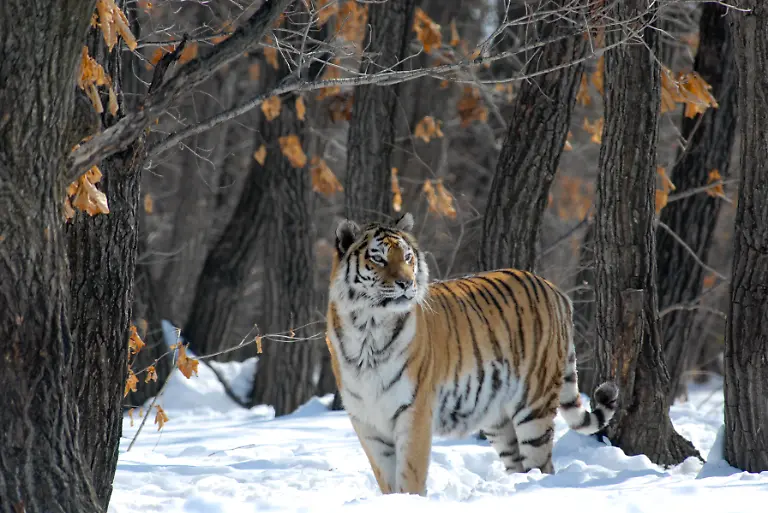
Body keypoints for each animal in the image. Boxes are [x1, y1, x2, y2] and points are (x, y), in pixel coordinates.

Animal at [325, 212, 618, 497]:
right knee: (518, 463)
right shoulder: (367, 423)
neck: (368, 329)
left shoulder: (414, 413)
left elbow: (410, 477)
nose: (407, 283)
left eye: (407, 257)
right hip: (498, 418)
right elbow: (387, 481)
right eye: (379, 259)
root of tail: (555, 290)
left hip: (534, 404)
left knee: (542, 465)